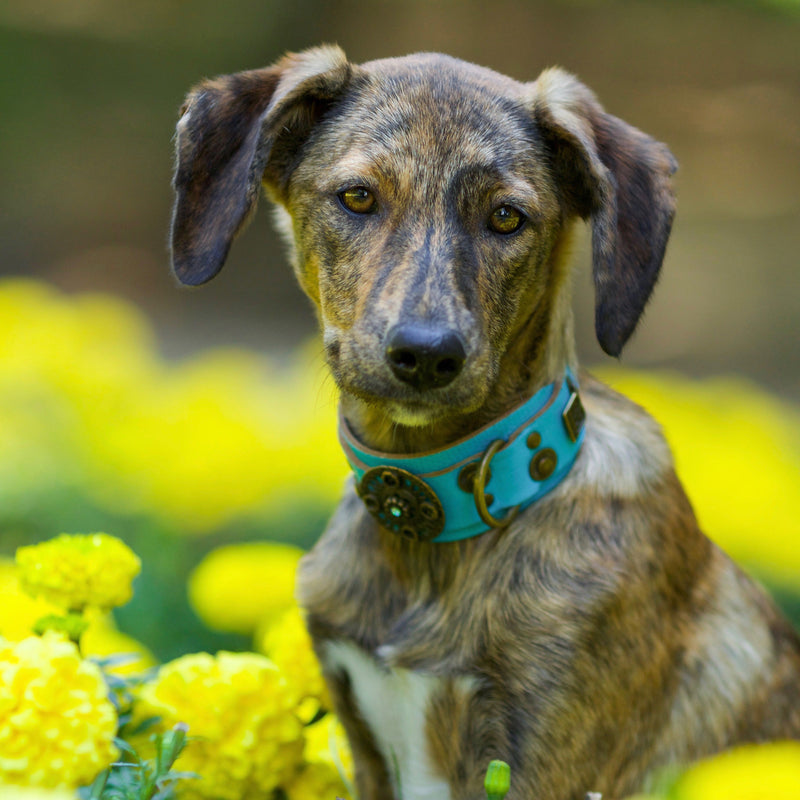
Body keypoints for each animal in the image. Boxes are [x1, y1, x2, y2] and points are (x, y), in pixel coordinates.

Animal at [170, 45, 800, 800]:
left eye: (506, 217)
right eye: (357, 197)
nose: (426, 355)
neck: (432, 534)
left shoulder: (544, 758)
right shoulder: (368, 750)